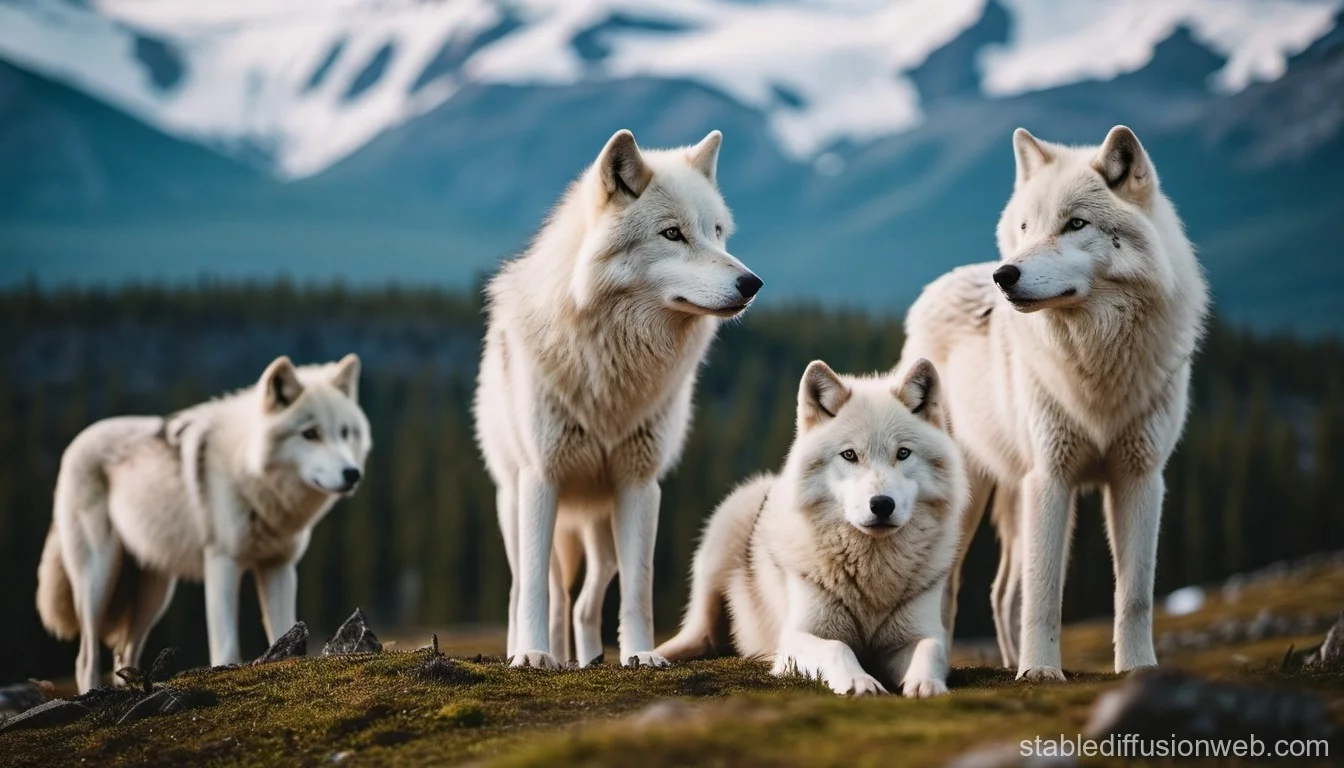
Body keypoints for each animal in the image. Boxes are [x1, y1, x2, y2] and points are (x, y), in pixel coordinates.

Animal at [37, 355, 371, 693]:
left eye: (345, 433)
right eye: (310, 433)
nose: (352, 474)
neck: (248, 473)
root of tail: (76, 441)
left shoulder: (279, 566)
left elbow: (283, 627)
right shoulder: (222, 564)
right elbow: (227, 648)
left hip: (154, 595)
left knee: (123, 655)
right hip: (98, 580)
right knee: (86, 659)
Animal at [474, 129, 762, 669]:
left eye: (716, 232)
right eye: (672, 234)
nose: (751, 283)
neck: (611, 369)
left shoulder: (641, 485)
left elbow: (638, 590)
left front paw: (641, 654)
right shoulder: (541, 478)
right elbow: (535, 592)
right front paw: (532, 655)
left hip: (600, 534)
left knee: (584, 604)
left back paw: (584, 658)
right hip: (517, 508)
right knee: (534, 588)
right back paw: (539, 651)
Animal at [655, 359, 968, 697]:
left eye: (903, 453)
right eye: (849, 455)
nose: (882, 504)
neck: (872, 574)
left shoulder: (915, 635)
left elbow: (931, 648)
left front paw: (927, 684)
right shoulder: (795, 637)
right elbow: (837, 647)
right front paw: (859, 681)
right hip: (726, 530)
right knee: (696, 635)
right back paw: (649, 656)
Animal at [899, 125, 1209, 680]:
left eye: (1075, 224)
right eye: (1025, 227)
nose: (1004, 275)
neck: (1095, 358)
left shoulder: (1140, 478)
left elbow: (1135, 595)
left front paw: (1138, 670)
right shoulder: (1051, 476)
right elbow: (1044, 593)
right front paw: (1041, 672)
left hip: (1014, 496)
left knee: (1002, 594)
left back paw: (1006, 660)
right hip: (970, 498)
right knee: (951, 590)